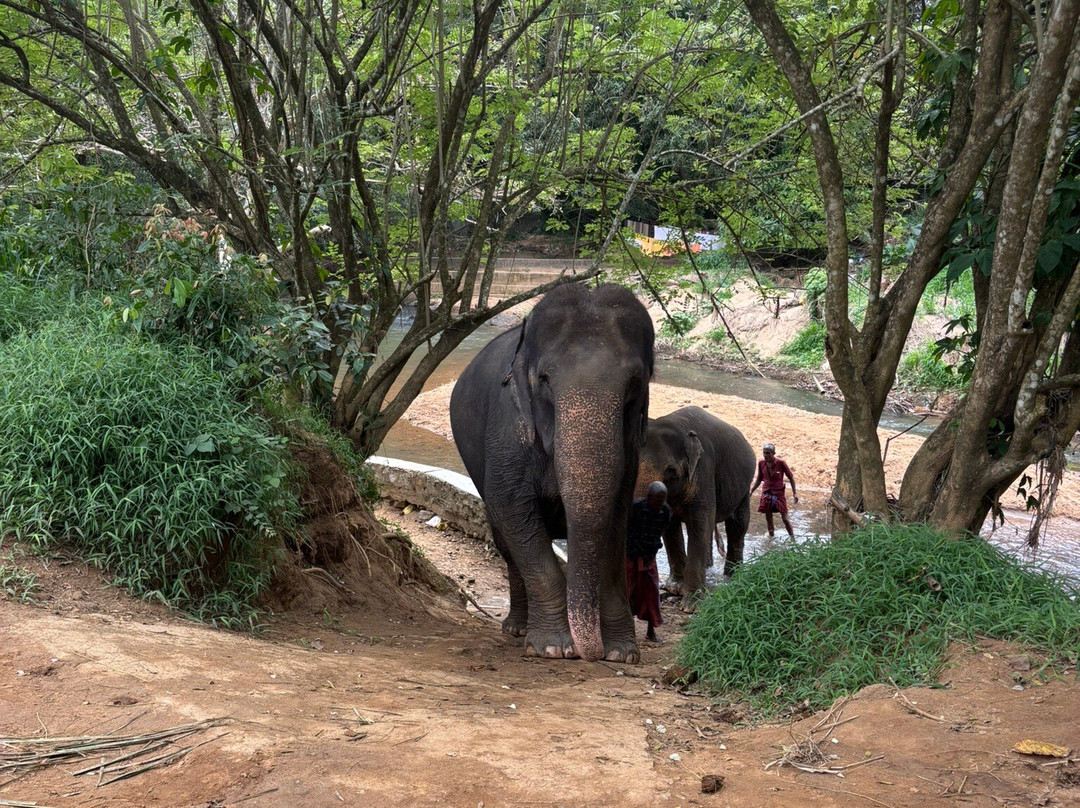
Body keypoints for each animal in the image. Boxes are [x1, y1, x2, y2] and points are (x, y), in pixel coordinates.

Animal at [449, 283, 654, 662]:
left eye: (635, 382)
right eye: (544, 379)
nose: (593, 654)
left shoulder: (632, 447)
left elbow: (616, 517)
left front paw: (621, 653)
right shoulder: (507, 430)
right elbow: (511, 506)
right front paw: (553, 648)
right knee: (505, 543)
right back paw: (516, 629)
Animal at [636, 406, 756, 604]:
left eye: (670, 471)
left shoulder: (703, 470)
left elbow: (699, 524)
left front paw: (692, 604)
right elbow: (671, 527)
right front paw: (675, 588)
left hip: (743, 486)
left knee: (737, 525)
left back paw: (732, 577)